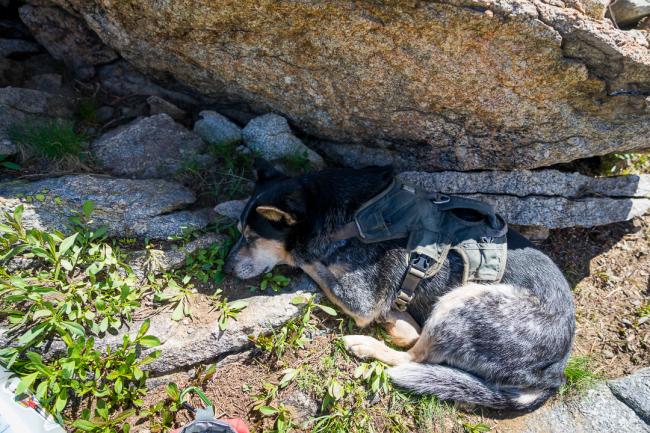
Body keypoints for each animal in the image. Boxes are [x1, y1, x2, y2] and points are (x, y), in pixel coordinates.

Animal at [223, 160, 572, 410]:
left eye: (252, 237)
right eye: (239, 232)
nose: (226, 268)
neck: (341, 214)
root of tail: (554, 374)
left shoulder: (360, 298)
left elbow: (309, 261)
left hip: (466, 300)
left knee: (415, 358)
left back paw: (368, 344)